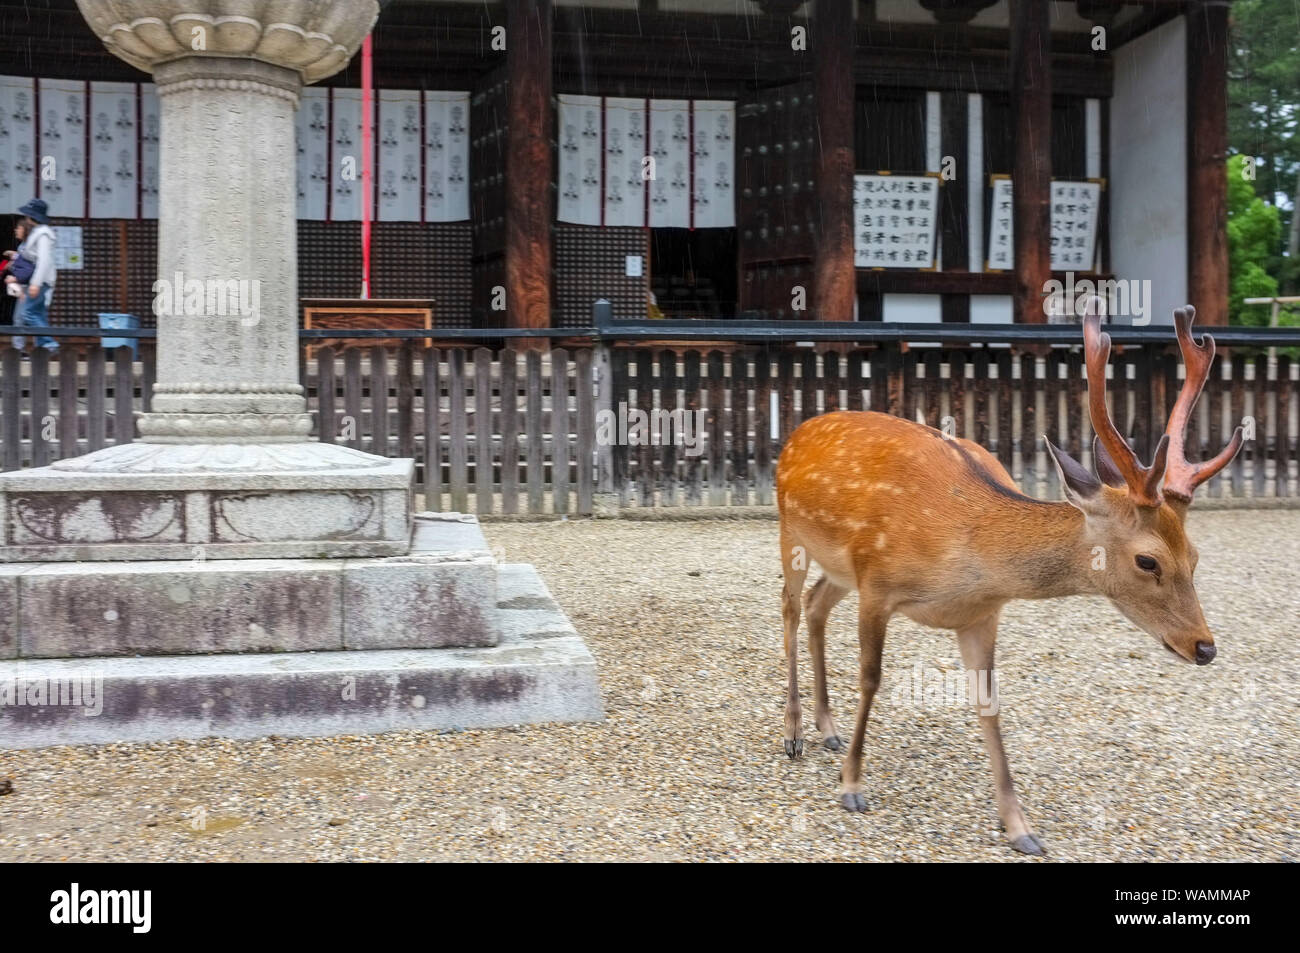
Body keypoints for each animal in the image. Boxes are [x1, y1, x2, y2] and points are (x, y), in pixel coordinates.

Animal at [774, 301, 1243, 855]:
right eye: (1148, 561)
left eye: (1195, 555)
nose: (1205, 647)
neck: (967, 558)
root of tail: (798, 431)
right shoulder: (878, 583)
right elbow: (871, 679)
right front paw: (851, 785)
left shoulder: (981, 614)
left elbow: (989, 702)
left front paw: (1020, 827)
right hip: (791, 532)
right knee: (789, 607)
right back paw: (795, 733)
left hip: (839, 567)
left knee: (817, 605)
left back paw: (827, 727)